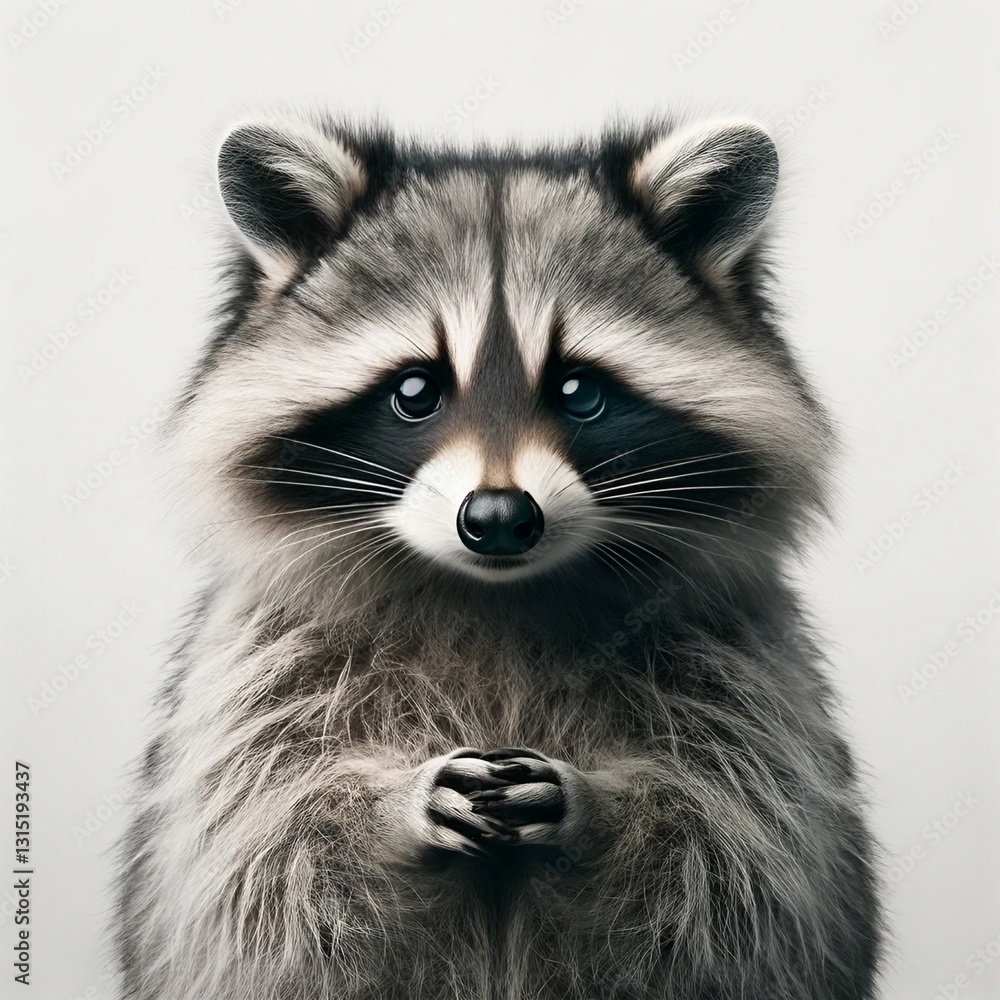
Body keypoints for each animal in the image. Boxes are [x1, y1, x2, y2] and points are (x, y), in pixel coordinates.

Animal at [114, 114, 882, 1000]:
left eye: (580, 391)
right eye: (415, 391)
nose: (500, 517)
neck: (496, 591)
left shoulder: (745, 675)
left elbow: (728, 867)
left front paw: (595, 808)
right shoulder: (255, 679)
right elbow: (268, 864)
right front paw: (390, 809)